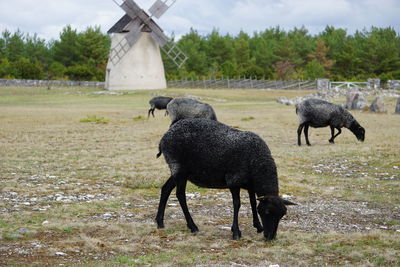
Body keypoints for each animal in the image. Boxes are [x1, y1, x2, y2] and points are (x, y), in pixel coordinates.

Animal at [155, 118, 296, 242]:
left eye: (282, 215)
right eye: (267, 212)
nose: (271, 237)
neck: (257, 160)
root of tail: (165, 136)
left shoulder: (250, 184)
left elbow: (252, 202)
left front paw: (258, 226)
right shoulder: (233, 180)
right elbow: (237, 204)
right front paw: (236, 232)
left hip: (178, 172)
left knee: (166, 189)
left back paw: (160, 222)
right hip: (179, 168)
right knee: (180, 195)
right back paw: (193, 226)